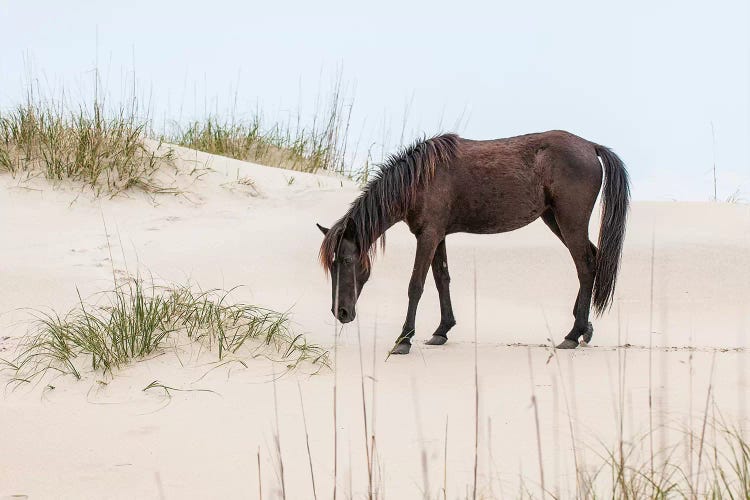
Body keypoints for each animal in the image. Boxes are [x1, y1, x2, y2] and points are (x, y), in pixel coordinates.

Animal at [316, 131, 628, 354]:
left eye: (346, 260)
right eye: (331, 266)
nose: (340, 312)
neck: (420, 179)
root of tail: (591, 146)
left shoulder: (428, 235)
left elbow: (416, 285)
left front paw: (404, 339)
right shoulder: (437, 235)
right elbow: (442, 279)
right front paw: (441, 330)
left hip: (569, 221)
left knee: (585, 267)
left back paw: (572, 335)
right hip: (554, 220)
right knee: (592, 260)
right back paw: (584, 327)